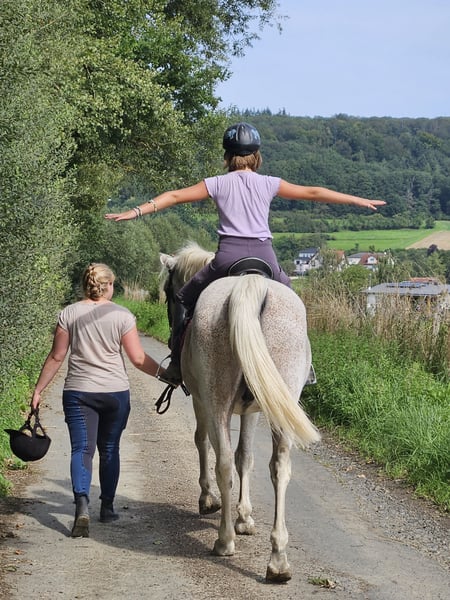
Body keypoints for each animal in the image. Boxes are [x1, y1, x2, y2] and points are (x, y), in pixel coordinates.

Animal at [159, 242, 320, 583]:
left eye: (169, 292)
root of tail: (250, 286)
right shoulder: (254, 409)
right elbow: (245, 457)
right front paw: (245, 518)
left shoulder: (202, 402)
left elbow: (204, 443)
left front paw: (210, 501)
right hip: (279, 400)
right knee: (280, 467)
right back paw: (278, 560)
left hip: (216, 400)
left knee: (221, 462)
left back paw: (224, 541)